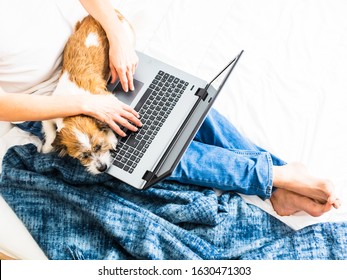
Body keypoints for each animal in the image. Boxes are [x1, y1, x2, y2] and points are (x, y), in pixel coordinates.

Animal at [42, 10, 135, 174]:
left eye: (99, 146)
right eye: (84, 156)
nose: (102, 168)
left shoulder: (107, 100)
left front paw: (111, 138)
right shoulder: (50, 114)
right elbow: (51, 133)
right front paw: (47, 147)